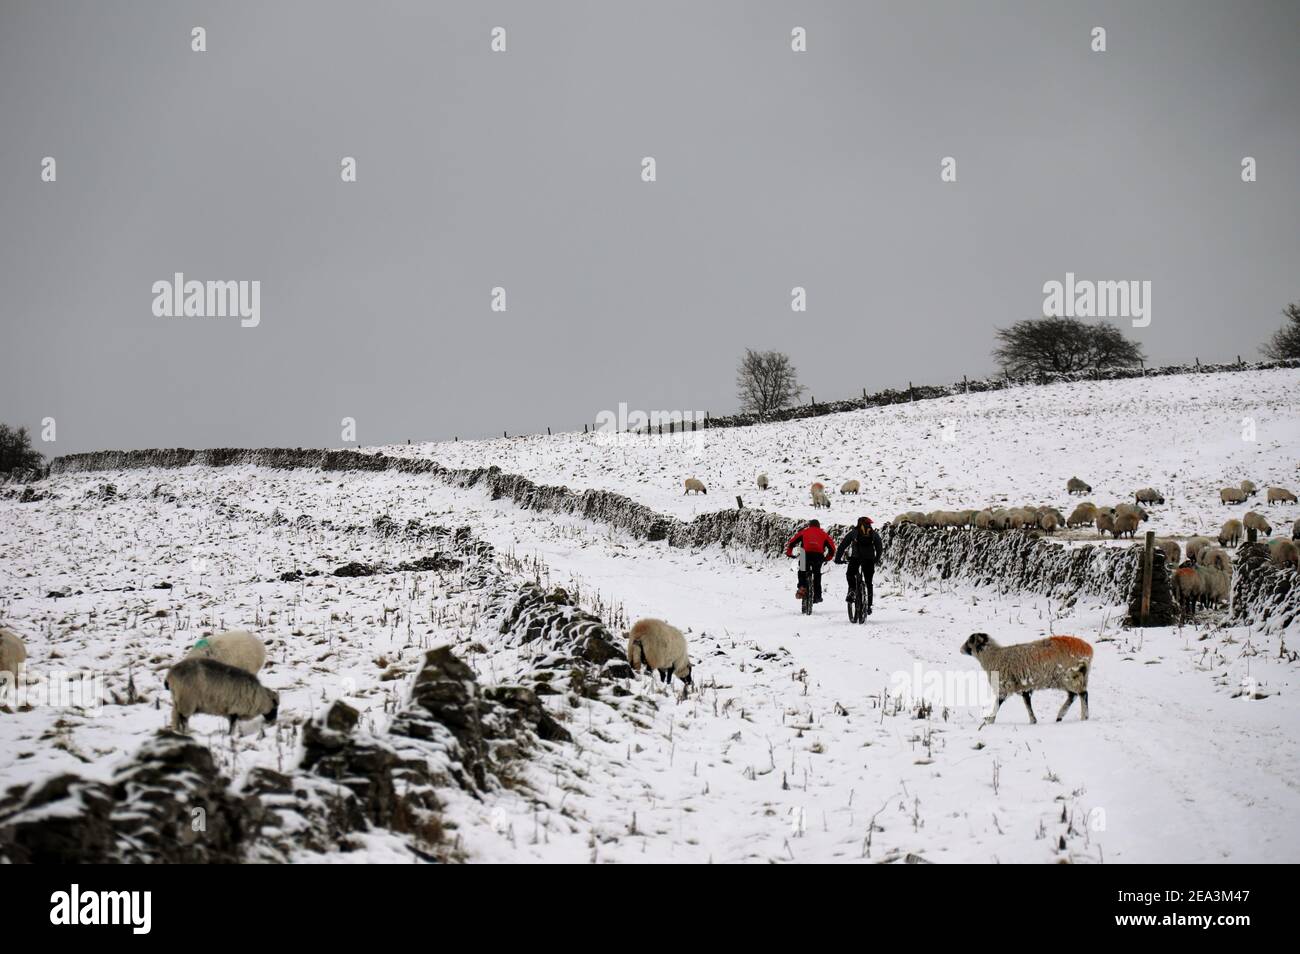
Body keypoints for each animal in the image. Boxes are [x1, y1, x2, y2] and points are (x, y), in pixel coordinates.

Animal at [961, 634, 1092, 722]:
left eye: (970, 641)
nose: (961, 649)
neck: (993, 657)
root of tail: (1088, 649)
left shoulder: (1005, 686)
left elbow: (997, 704)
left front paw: (989, 721)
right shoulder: (1024, 686)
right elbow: (1027, 703)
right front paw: (1033, 721)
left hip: (1070, 675)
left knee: (1083, 694)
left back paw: (1084, 717)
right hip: (1065, 679)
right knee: (1073, 695)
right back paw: (1060, 716)